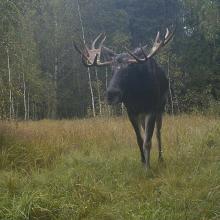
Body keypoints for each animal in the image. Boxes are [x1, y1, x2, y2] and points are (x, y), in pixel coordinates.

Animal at [74, 28, 174, 169]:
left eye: (130, 68)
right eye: (111, 69)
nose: (111, 94)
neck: (138, 96)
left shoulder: (152, 109)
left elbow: (148, 141)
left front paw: (148, 167)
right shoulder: (131, 111)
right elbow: (140, 139)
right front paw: (143, 161)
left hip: (161, 107)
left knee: (158, 133)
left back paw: (160, 158)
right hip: (142, 114)